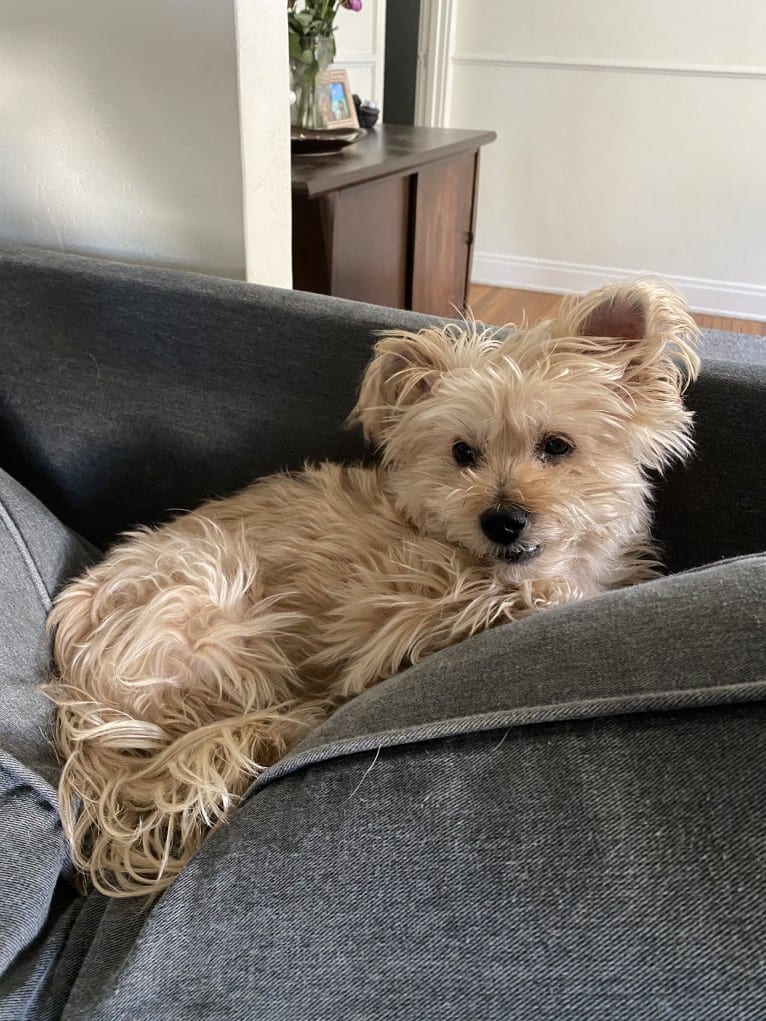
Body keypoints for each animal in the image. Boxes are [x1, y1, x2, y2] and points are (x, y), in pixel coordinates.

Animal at [46, 277, 702, 894]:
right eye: (463, 453)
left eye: (557, 446)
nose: (502, 520)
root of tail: (82, 701)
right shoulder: (386, 625)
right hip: (215, 598)